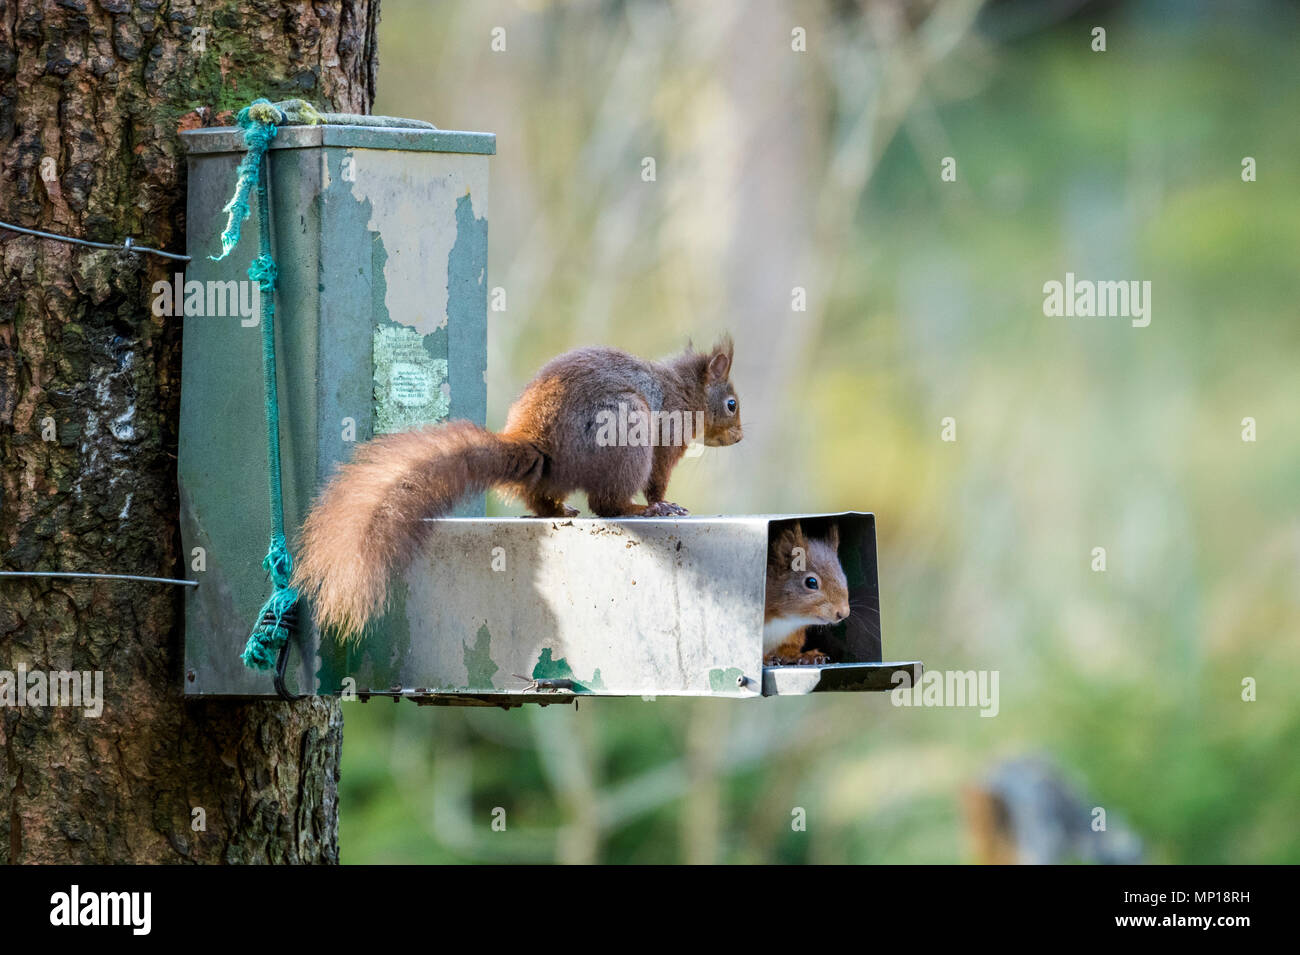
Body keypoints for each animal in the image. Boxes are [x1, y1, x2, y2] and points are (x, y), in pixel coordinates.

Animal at [295, 335, 743, 641]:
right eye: (732, 404)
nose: (739, 437)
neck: (684, 389)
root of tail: (540, 445)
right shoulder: (666, 436)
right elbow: (657, 480)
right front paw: (662, 504)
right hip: (625, 429)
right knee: (606, 503)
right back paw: (635, 509)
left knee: (545, 499)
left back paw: (558, 511)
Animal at [759, 522, 852, 665]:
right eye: (811, 582)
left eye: (844, 576)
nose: (843, 613)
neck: (785, 618)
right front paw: (765, 659)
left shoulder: (793, 635)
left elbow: (787, 650)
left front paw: (804, 656)